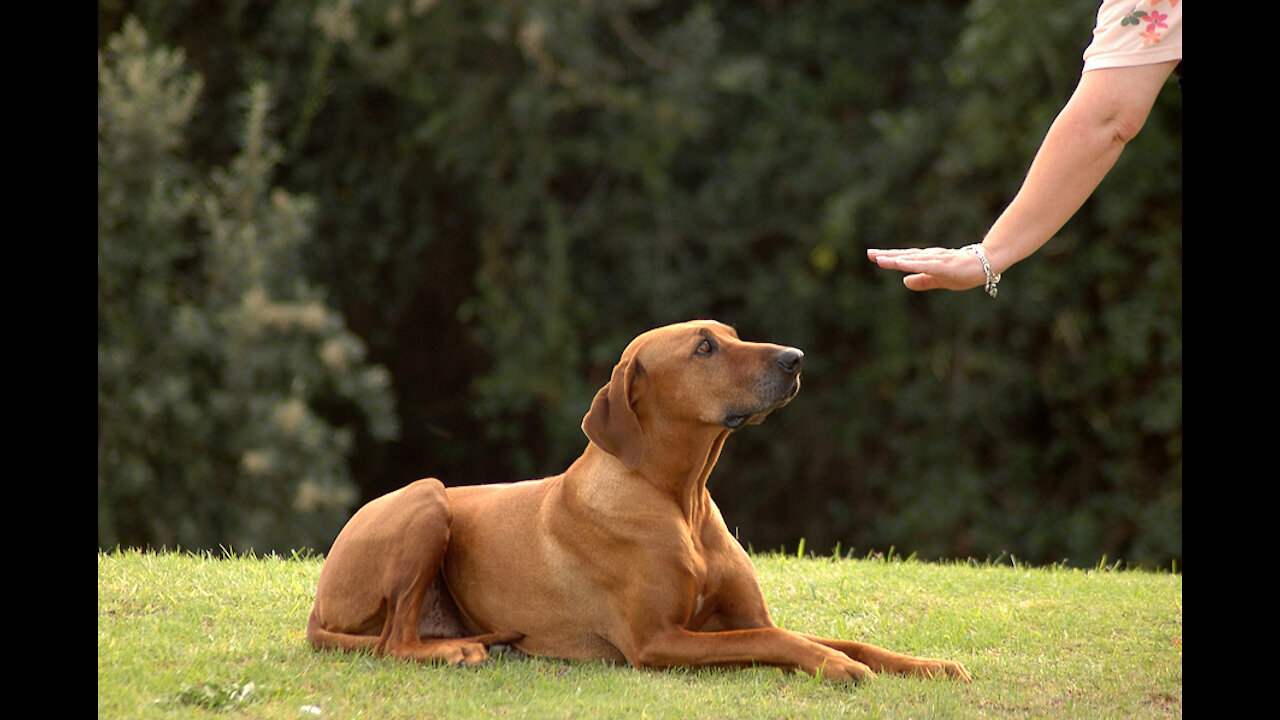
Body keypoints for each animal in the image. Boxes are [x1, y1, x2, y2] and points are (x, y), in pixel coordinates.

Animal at [309, 317, 967, 676]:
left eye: (731, 335)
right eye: (704, 348)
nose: (795, 358)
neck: (680, 500)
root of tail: (317, 605)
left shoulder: (742, 615)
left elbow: (837, 637)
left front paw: (926, 664)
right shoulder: (657, 641)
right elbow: (775, 640)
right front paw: (837, 668)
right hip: (427, 497)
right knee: (393, 643)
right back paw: (456, 654)